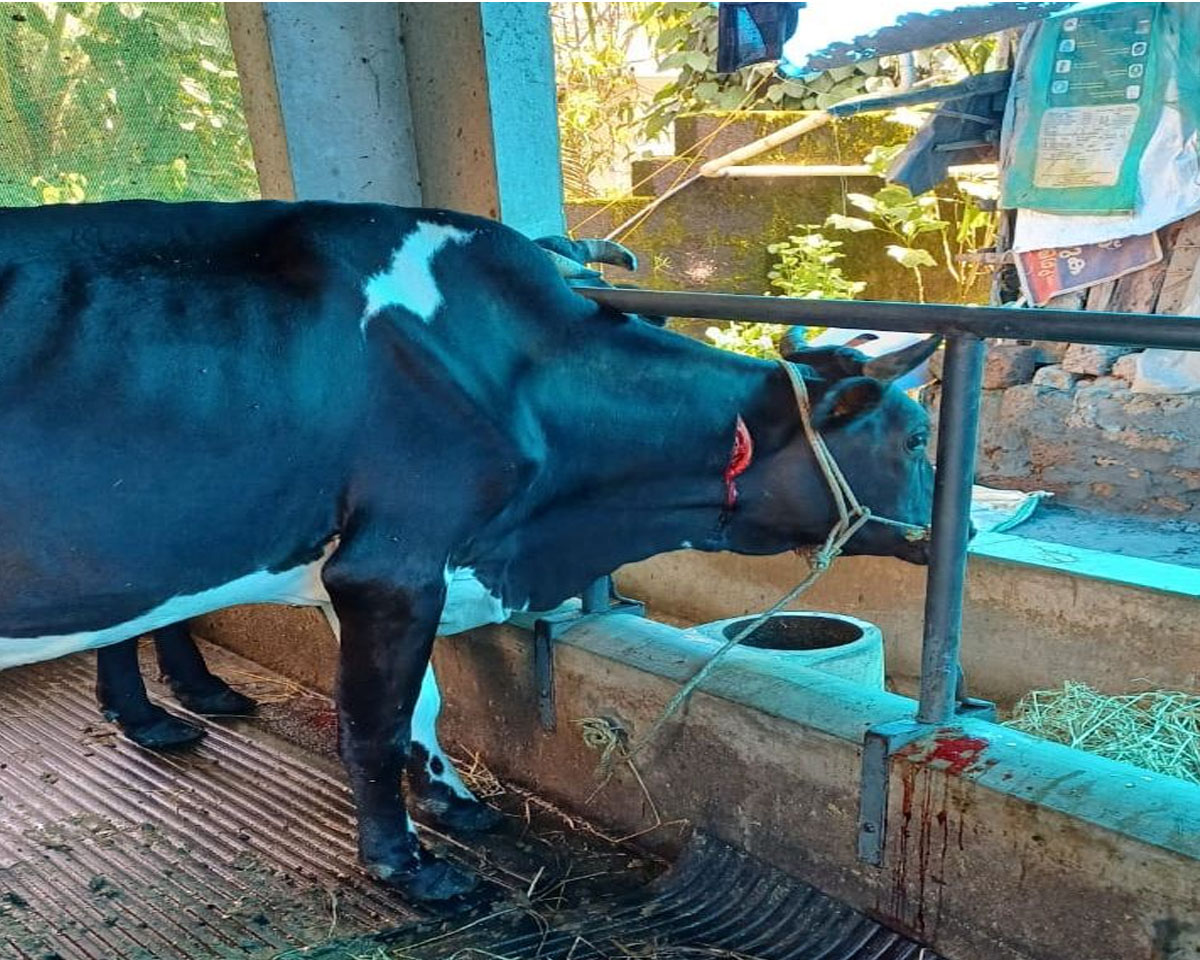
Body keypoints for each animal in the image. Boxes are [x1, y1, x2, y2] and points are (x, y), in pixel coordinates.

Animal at [0, 200, 936, 902]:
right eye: (919, 436)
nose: (953, 527)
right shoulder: (391, 564)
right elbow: (374, 727)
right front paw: (409, 868)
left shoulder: (394, 574)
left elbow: (422, 707)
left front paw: (454, 801)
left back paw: (159, 712)